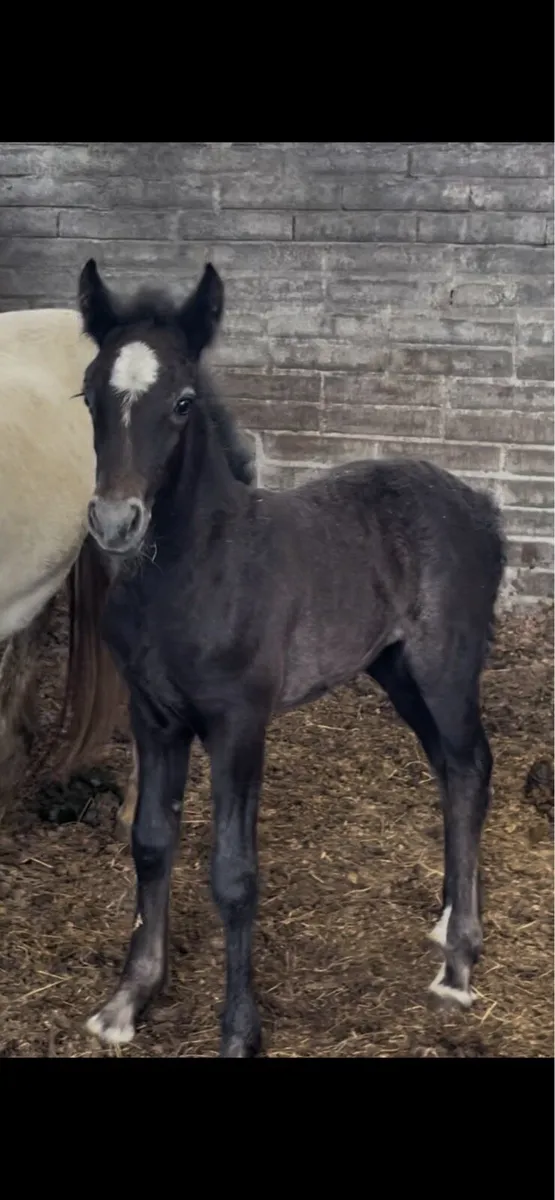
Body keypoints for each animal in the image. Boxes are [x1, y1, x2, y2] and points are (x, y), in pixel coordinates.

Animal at [76, 257, 507, 1058]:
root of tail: (480, 504)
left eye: (183, 402)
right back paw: (443, 923)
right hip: (395, 671)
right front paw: (127, 1000)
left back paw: (458, 965)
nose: (116, 521)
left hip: (444, 668)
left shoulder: (240, 723)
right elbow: (150, 842)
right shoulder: (154, 718)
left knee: (469, 767)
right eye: (89, 392)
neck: (195, 570)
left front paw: (239, 1032)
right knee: (450, 768)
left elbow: (233, 875)